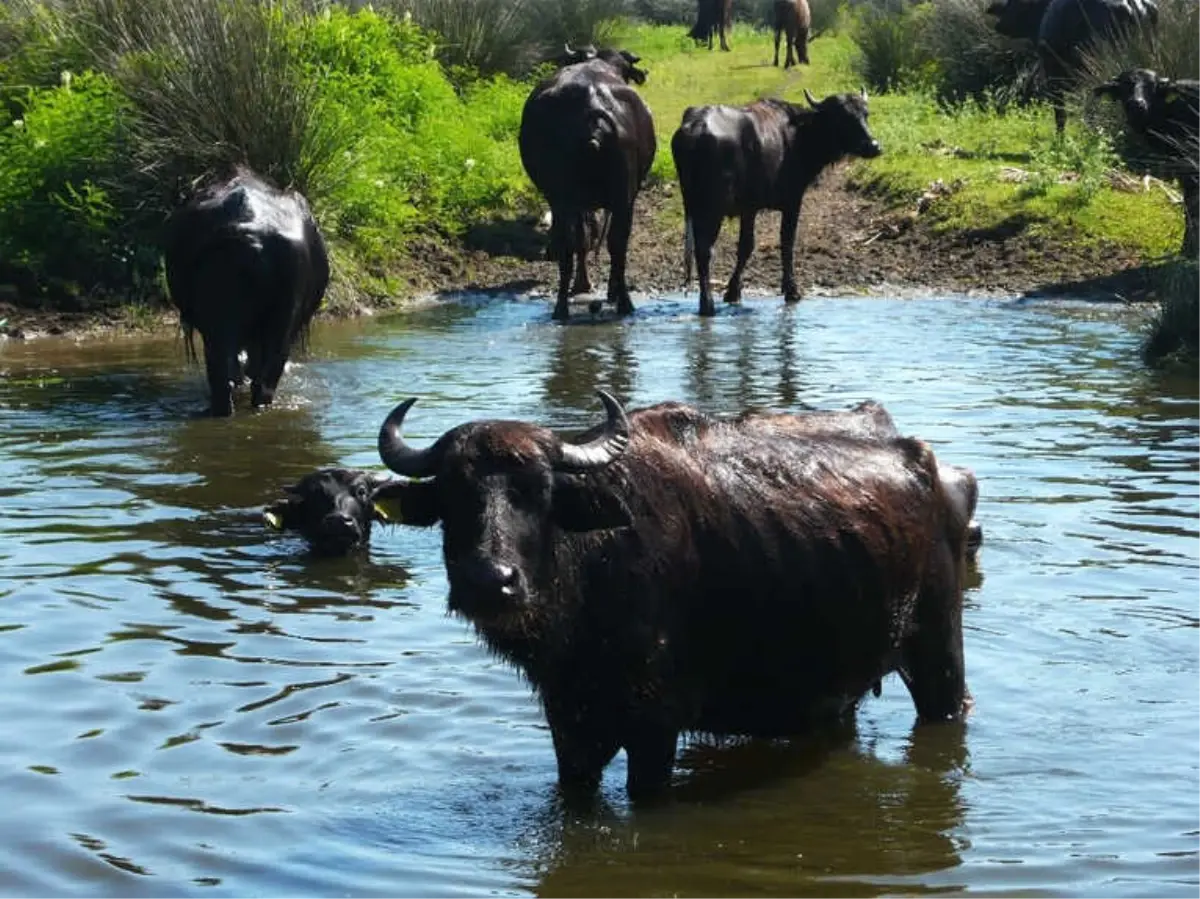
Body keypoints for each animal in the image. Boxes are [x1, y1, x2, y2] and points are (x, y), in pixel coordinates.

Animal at [369, 393, 969, 801]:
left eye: (537, 491)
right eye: (453, 495)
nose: (489, 581)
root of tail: (936, 468)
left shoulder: (654, 727)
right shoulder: (570, 728)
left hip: (938, 650)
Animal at [518, 46, 657, 319]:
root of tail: (592, 110)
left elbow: (583, 238)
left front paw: (582, 285)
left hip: (562, 199)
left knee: (568, 243)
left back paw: (561, 307)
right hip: (621, 198)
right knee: (616, 243)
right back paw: (622, 301)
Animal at [672, 90, 888, 314]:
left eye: (865, 114)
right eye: (843, 117)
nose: (874, 146)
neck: (798, 136)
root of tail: (696, 127)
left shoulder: (749, 208)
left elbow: (746, 246)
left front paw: (733, 292)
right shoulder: (793, 201)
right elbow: (787, 242)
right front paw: (792, 290)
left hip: (693, 205)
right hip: (712, 209)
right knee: (705, 250)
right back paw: (707, 304)